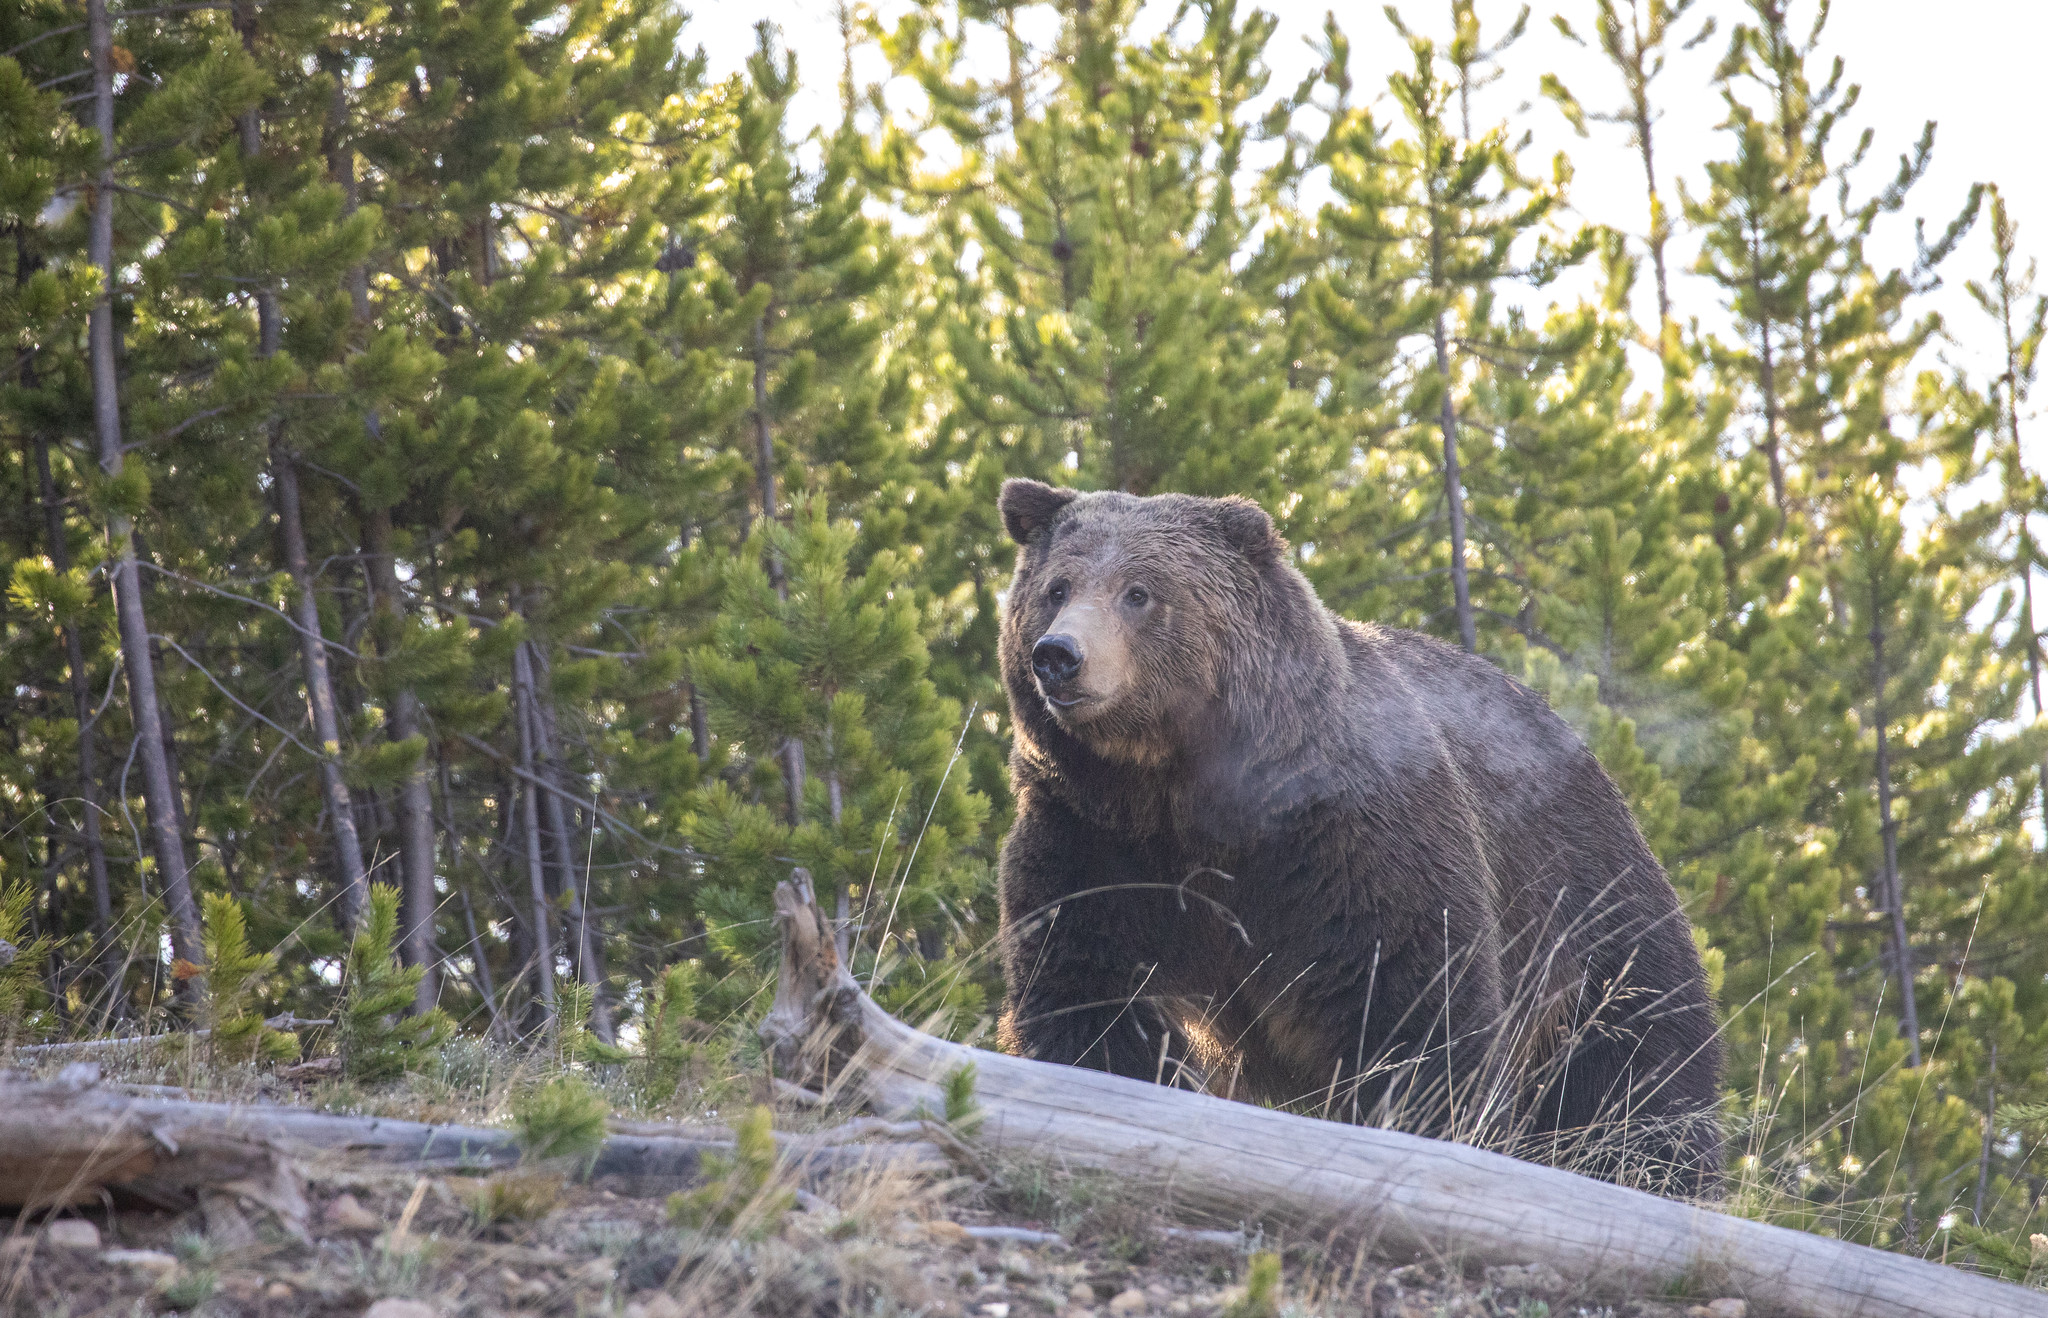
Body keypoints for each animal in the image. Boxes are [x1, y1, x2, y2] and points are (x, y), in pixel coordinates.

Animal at [999, 480, 1720, 1195]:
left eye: (1140, 592)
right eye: (1057, 587)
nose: (1059, 655)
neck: (1183, 792)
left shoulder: (1347, 836)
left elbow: (1411, 997)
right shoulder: (1096, 838)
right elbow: (1087, 985)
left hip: (1587, 899)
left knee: (1640, 1063)